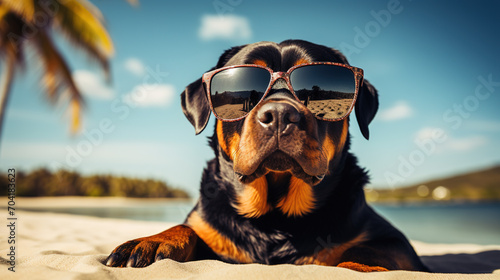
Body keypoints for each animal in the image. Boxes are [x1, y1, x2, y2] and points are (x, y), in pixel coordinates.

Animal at [105, 39, 426, 272]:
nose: (281, 114)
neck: (275, 217)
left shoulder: (397, 243)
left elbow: (368, 249)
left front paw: (354, 266)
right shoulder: (209, 227)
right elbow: (187, 227)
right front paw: (153, 240)